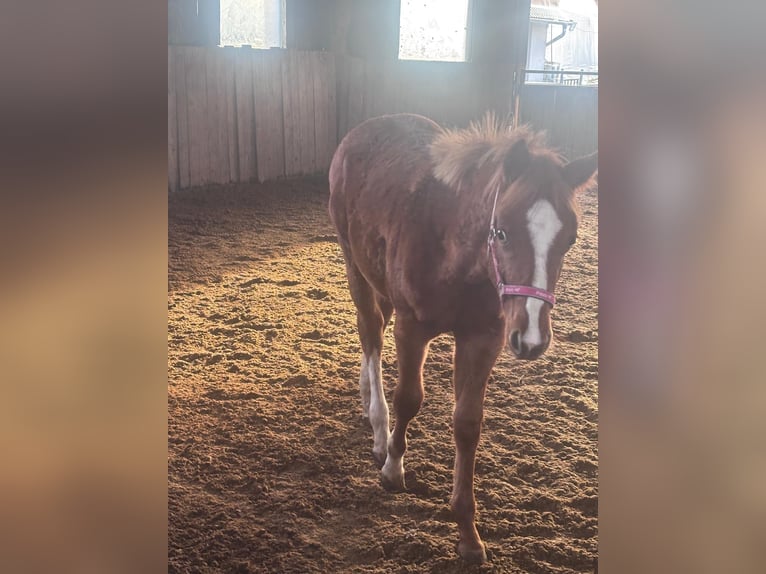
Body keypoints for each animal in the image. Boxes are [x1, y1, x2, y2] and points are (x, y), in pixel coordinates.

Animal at [328, 113, 597, 563]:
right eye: (501, 232)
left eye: (571, 238)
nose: (532, 337)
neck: (455, 253)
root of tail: (362, 130)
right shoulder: (411, 328)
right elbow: (409, 398)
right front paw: (393, 470)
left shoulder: (483, 338)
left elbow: (467, 424)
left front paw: (467, 532)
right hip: (354, 263)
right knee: (370, 332)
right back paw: (379, 427)